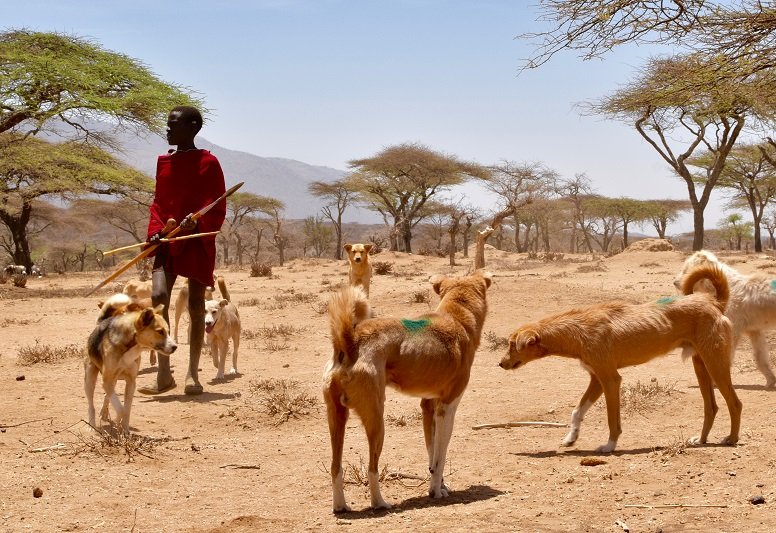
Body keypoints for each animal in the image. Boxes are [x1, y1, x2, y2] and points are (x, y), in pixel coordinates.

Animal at [85, 294, 177, 434]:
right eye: (160, 331)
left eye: (168, 331)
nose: (175, 347)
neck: (131, 347)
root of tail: (102, 323)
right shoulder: (107, 380)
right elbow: (121, 409)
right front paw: (118, 422)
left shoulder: (131, 382)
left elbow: (126, 409)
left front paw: (125, 430)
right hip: (90, 378)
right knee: (91, 405)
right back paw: (92, 425)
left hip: (112, 380)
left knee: (108, 396)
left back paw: (105, 413)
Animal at [322, 270, 492, 512]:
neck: (458, 317)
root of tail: (351, 341)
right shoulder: (447, 408)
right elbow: (440, 456)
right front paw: (436, 492)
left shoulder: (428, 407)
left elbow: (432, 454)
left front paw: (440, 486)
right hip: (376, 421)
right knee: (372, 468)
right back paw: (379, 503)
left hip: (336, 418)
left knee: (335, 467)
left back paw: (340, 506)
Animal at [500, 264, 744, 450]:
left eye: (512, 344)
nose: (500, 363)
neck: (576, 330)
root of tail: (714, 302)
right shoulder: (596, 378)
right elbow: (577, 411)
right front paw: (571, 437)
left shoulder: (610, 379)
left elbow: (611, 419)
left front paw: (609, 446)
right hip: (700, 365)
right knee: (711, 407)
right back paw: (701, 440)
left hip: (716, 364)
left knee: (735, 403)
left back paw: (732, 439)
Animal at [672, 249, 776, 386]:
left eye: (686, 270)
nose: (674, 282)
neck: (730, 286)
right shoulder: (755, 331)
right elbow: (760, 358)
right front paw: (771, 381)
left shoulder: (732, 330)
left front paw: (715, 383)